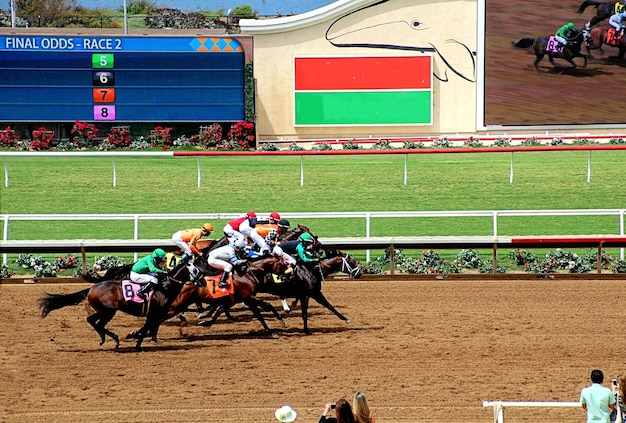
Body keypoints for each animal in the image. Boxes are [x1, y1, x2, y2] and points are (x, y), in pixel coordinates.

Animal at [38, 258, 205, 352]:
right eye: (195, 270)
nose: (203, 281)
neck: (165, 286)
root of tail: (92, 288)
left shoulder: (155, 314)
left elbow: (148, 328)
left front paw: (142, 341)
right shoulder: (154, 313)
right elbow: (146, 329)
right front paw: (137, 343)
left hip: (103, 311)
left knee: (91, 320)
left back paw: (105, 338)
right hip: (108, 311)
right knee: (97, 323)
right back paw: (113, 339)